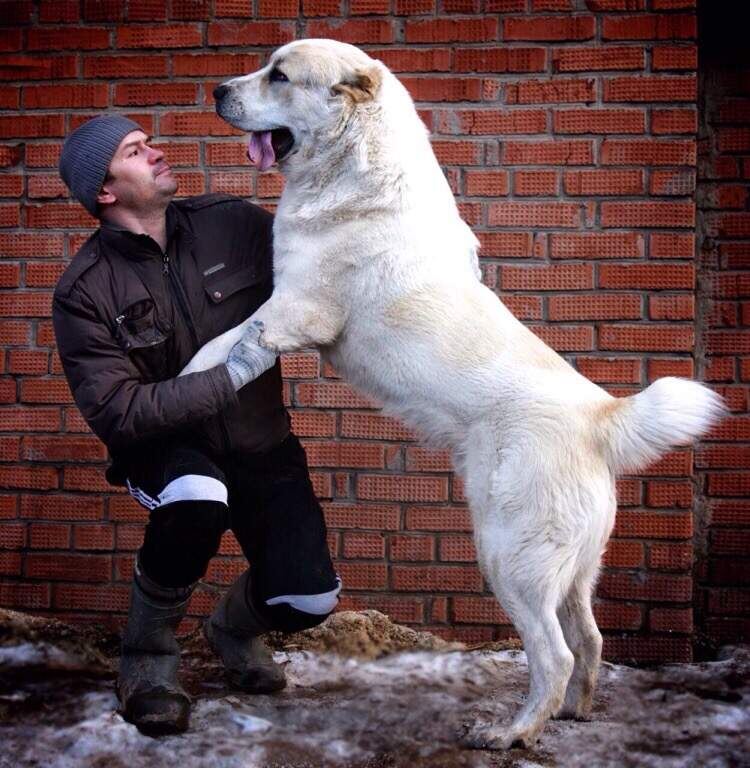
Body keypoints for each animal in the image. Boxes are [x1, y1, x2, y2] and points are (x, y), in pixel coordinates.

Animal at [180, 39, 726, 749]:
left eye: (280, 76)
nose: (218, 91)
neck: (356, 168)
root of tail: (601, 417)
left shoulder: (292, 312)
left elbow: (220, 344)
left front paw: (177, 379)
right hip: (572, 569)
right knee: (590, 639)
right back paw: (568, 714)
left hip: (508, 556)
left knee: (555, 654)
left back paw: (511, 732)